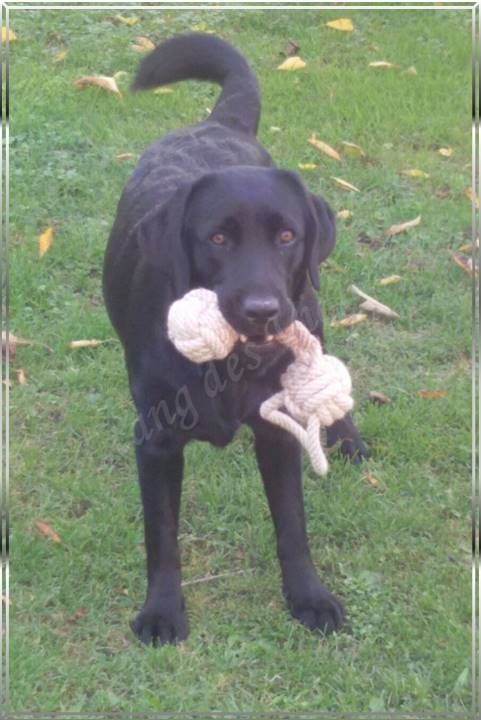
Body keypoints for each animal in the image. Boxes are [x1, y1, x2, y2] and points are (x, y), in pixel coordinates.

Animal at [103, 32, 366, 648]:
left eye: (287, 236)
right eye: (217, 239)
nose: (262, 311)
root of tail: (218, 123)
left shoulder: (276, 433)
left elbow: (292, 526)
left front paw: (308, 598)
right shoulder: (155, 441)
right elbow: (162, 538)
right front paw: (161, 611)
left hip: (311, 308)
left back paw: (346, 436)